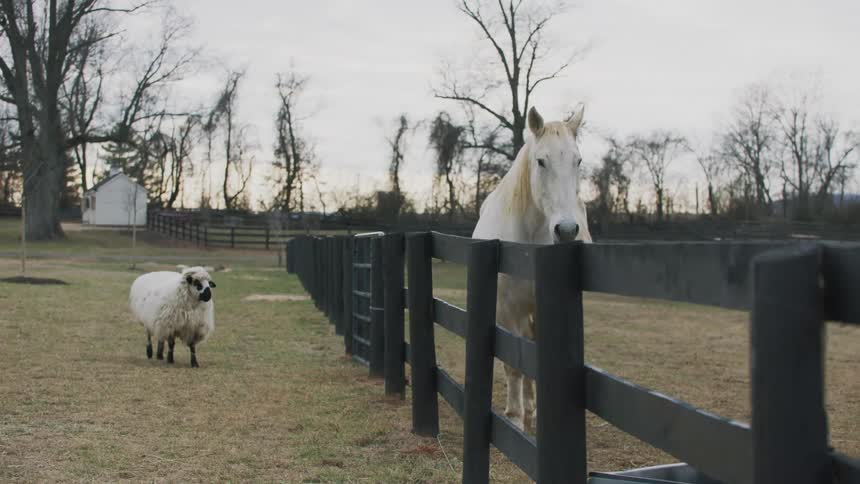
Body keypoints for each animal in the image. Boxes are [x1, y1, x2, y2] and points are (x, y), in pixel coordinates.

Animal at [472, 105, 592, 432]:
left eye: (577, 161)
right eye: (541, 161)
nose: (567, 231)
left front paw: (533, 414)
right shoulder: (506, 310)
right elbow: (514, 365)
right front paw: (514, 419)